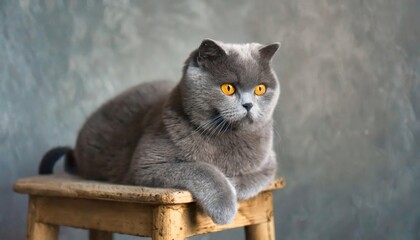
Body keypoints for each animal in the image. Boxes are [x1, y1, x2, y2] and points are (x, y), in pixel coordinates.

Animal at [39, 39, 280, 225]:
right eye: (228, 88)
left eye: (260, 88)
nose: (248, 105)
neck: (227, 136)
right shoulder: (147, 165)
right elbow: (203, 169)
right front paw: (225, 205)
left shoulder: (269, 162)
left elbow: (252, 178)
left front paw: (232, 183)